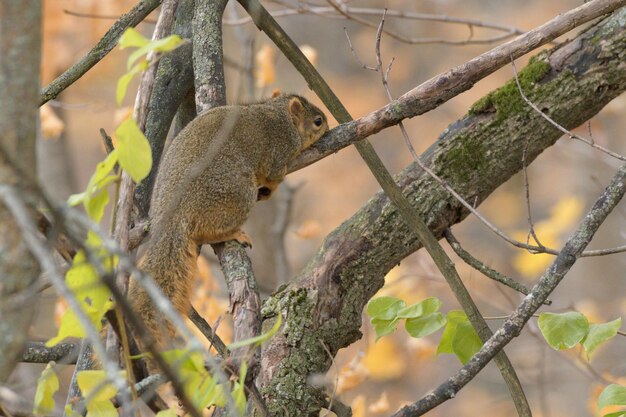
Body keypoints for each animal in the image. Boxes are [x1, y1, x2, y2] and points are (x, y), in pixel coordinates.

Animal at [130, 93, 330, 348]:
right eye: (317, 121)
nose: (328, 126)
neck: (279, 115)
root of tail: (173, 213)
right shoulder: (280, 152)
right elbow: (274, 175)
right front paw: (270, 188)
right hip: (237, 194)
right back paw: (233, 233)